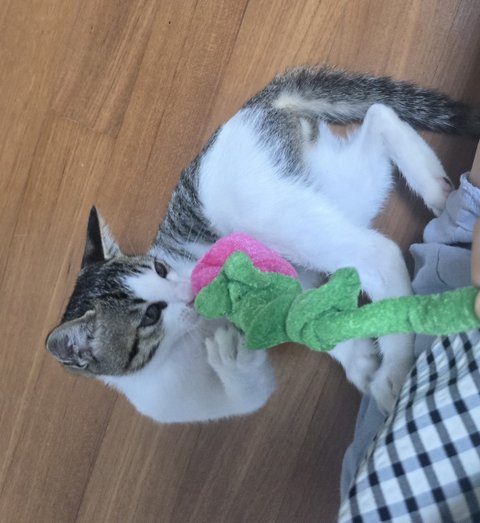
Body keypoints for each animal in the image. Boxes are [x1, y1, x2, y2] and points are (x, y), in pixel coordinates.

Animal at [46, 66, 479, 423]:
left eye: (161, 269)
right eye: (150, 315)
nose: (189, 291)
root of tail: (249, 109)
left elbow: (252, 380)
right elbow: (305, 318)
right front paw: (359, 360)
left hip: (269, 214)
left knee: (377, 253)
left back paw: (396, 364)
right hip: (325, 186)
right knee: (379, 116)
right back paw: (437, 189)